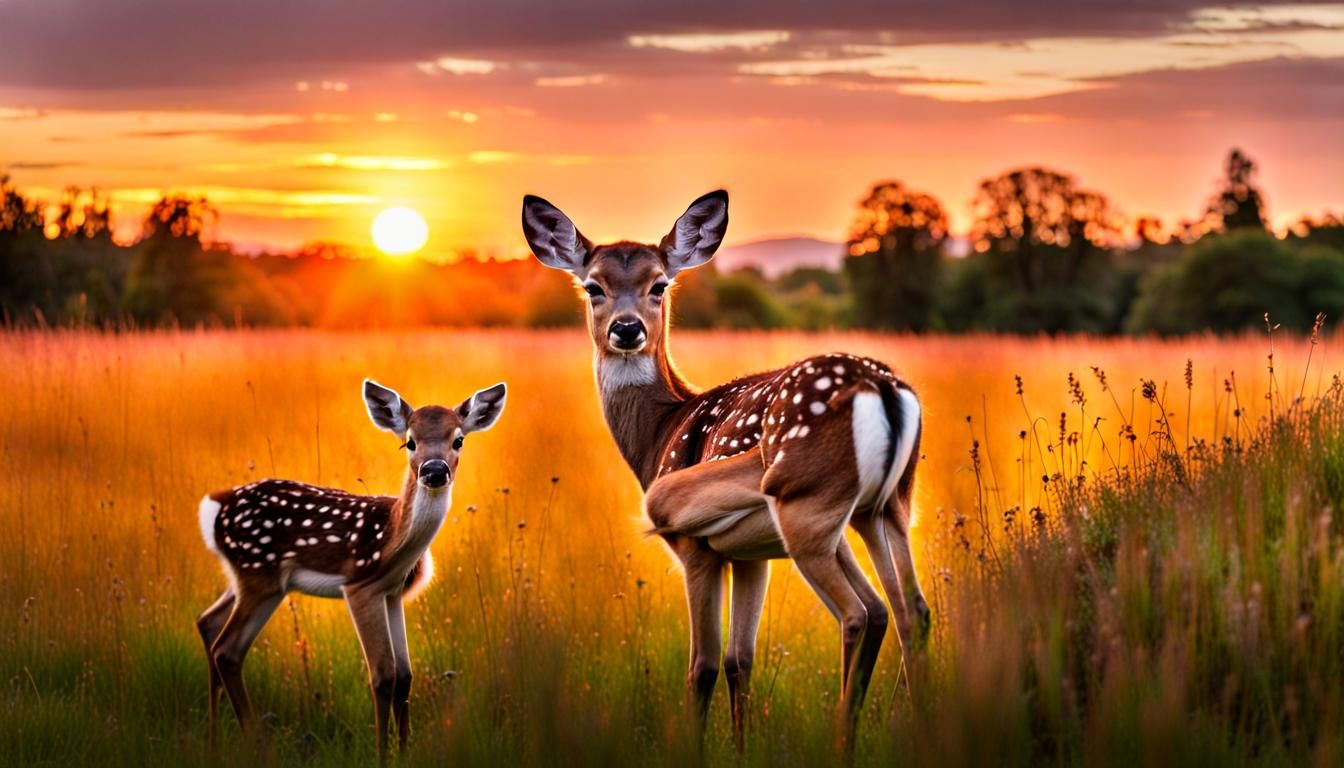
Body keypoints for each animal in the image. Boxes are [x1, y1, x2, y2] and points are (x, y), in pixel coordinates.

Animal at [195, 379, 506, 762]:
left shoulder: (391, 592)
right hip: (259, 577)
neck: (391, 543)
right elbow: (384, 676)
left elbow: (405, 676)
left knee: (208, 623)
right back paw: (256, 747)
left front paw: (404, 754)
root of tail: (215, 507)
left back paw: (213, 743)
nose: (434, 471)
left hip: (246, 578)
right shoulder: (360, 587)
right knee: (227, 650)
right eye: (409, 441)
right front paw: (382, 758)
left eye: (458, 439)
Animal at [522, 189, 930, 750]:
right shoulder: (751, 555)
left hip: (806, 509)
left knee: (859, 614)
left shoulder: (698, 550)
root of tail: (883, 388)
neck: (660, 432)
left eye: (659, 284)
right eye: (593, 286)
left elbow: (704, 667)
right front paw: (741, 748)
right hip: (887, 508)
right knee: (906, 610)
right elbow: (741, 661)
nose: (626, 329)